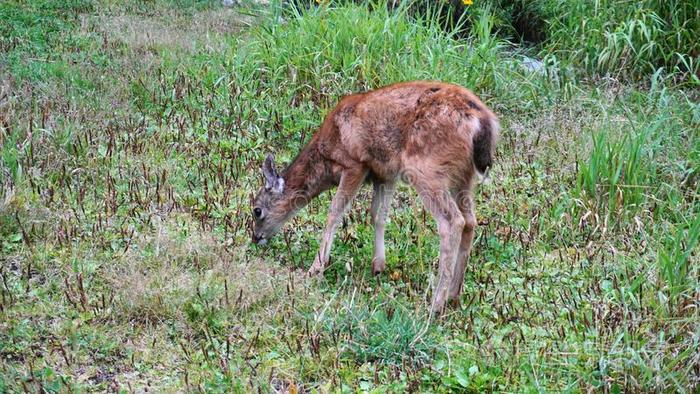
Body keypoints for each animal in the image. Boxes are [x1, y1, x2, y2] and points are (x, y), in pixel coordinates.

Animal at [252, 81, 498, 314]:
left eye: (256, 210)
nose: (255, 238)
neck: (325, 157)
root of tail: (483, 122)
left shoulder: (354, 164)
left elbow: (334, 213)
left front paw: (316, 268)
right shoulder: (384, 173)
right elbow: (377, 215)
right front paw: (378, 266)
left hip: (426, 167)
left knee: (453, 221)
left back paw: (436, 305)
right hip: (464, 176)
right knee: (470, 221)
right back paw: (454, 296)